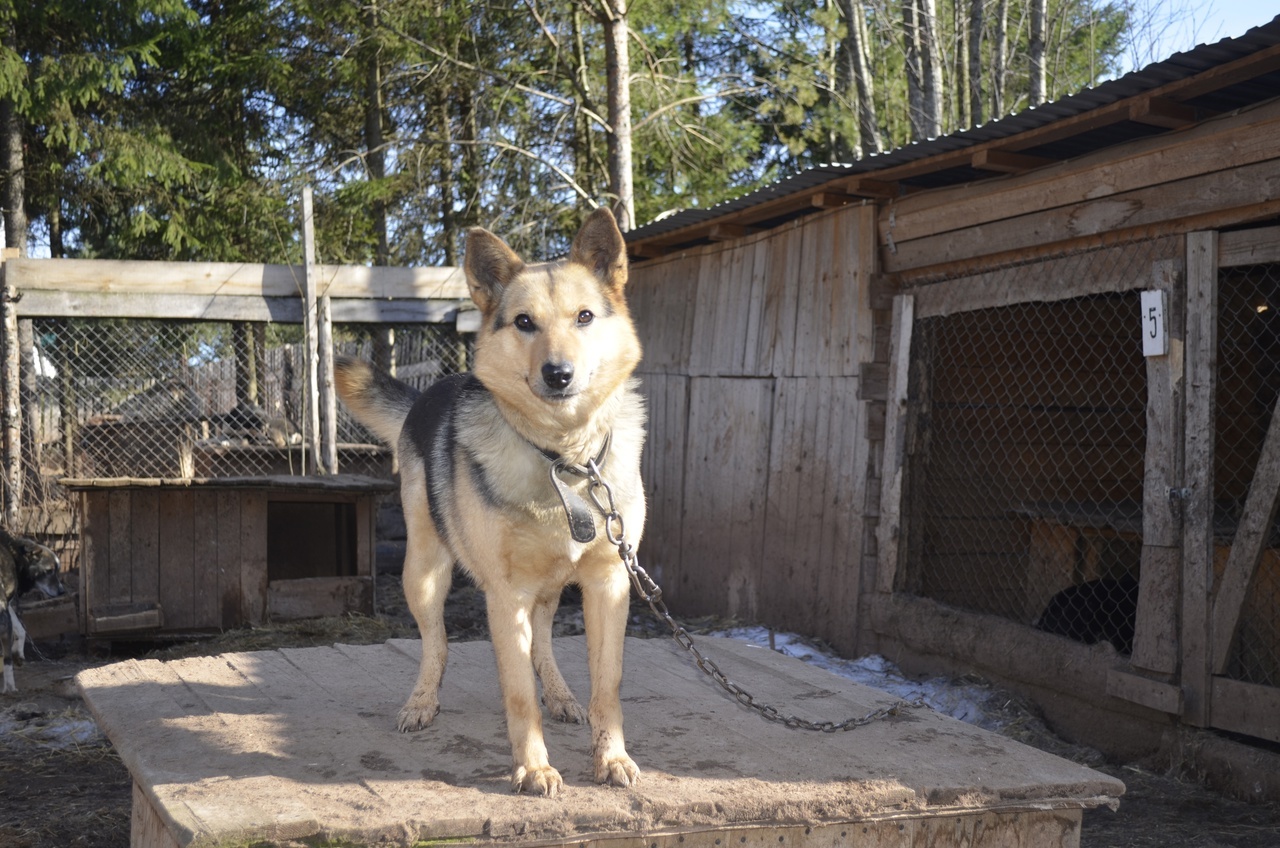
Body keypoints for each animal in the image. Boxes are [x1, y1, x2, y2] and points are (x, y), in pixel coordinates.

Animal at [1, 527, 65, 696]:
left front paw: (18, 652)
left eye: (57, 570)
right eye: (49, 571)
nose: (62, 591)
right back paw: (10, 687)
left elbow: (21, 629)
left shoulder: (7, 606)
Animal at [335, 207, 645, 799]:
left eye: (585, 317)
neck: (564, 459)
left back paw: (561, 694)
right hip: (425, 572)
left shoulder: (608, 585)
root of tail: (430, 391)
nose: (558, 374)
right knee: (436, 643)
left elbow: (609, 684)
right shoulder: (506, 596)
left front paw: (611, 756)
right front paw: (533, 768)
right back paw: (422, 701)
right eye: (524, 322)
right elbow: (518, 695)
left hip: (546, 589)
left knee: (543, 643)